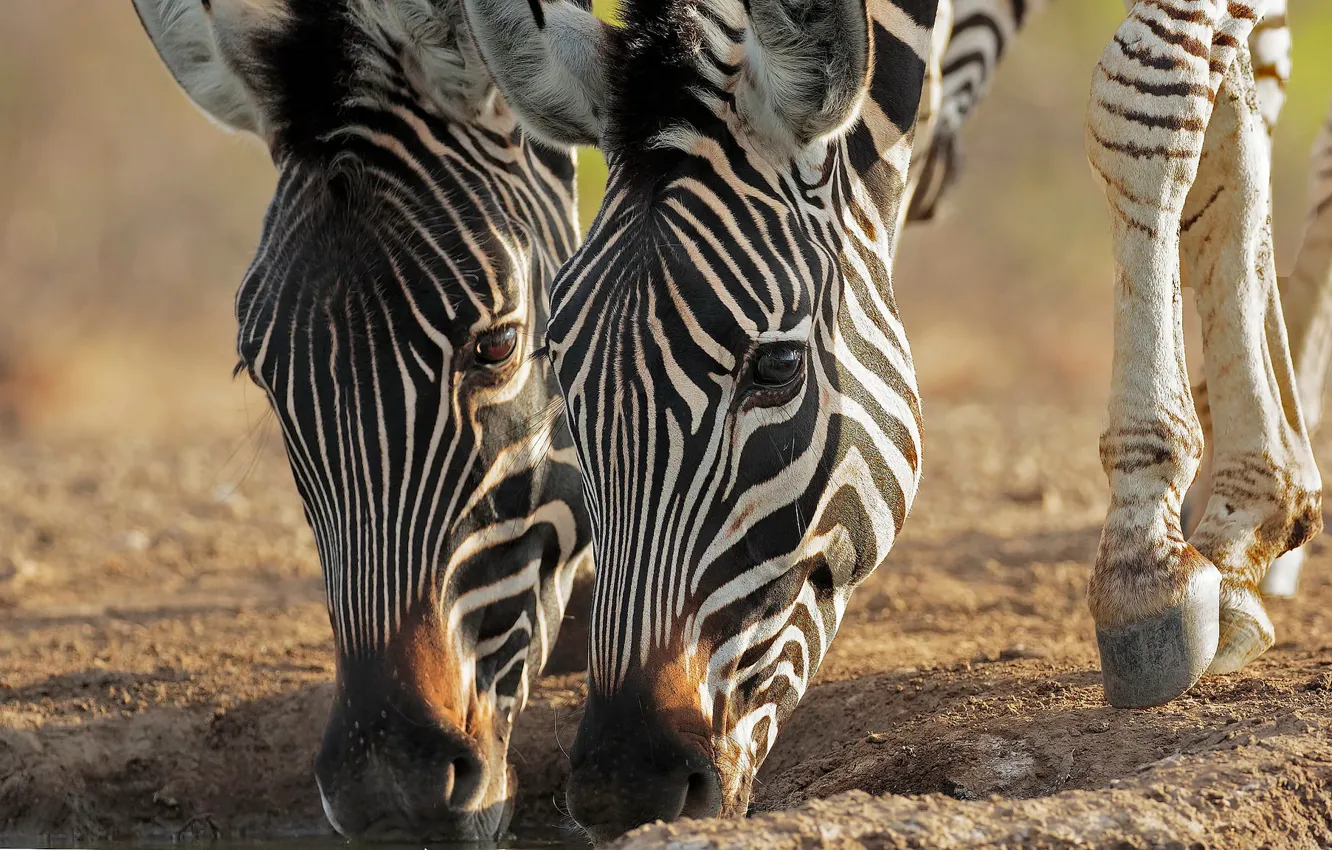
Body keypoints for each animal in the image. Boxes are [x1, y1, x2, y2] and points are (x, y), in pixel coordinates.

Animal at [465, 0, 1325, 838]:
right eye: (559, 369)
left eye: (777, 368)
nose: (626, 787)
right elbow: (1233, 120)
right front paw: (1254, 512)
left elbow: (1149, 95)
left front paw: (1147, 559)